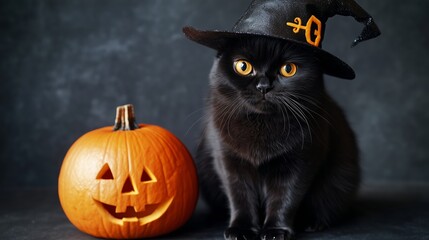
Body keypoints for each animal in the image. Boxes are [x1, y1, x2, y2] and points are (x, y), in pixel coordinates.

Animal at [196, 36, 360, 240]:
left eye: (288, 69)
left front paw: (276, 231)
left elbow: (285, 197)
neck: (261, 124)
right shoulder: (227, 159)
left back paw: (312, 223)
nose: (263, 86)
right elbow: (240, 196)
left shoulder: (301, 161)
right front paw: (241, 229)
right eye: (243, 66)